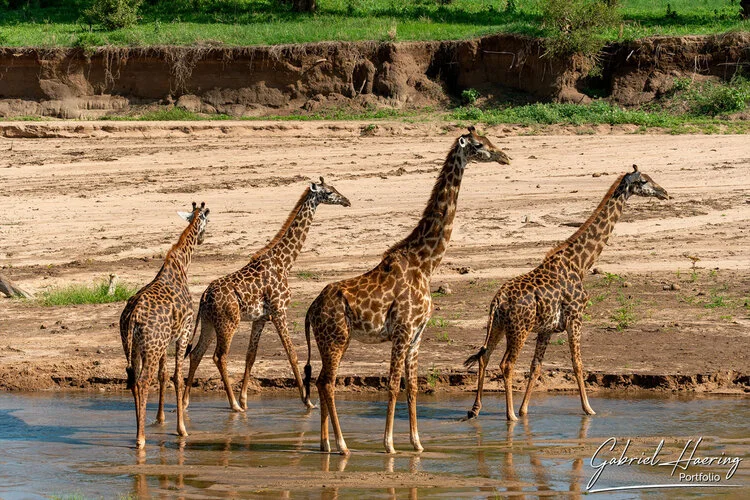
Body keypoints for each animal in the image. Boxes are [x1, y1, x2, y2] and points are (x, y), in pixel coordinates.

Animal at [120, 200, 210, 450]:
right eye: (208, 220)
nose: (203, 238)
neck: (181, 265)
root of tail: (132, 317)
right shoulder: (184, 333)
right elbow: (177, 377)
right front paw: (182, 429)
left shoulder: (166, 341)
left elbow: (164, 374)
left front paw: (160, 420)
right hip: (151, 347)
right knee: (142, 382)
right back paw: (141, 439)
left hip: (135, 347)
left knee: (134, 381)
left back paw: (139, 430)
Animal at [184, 178, 352, 412]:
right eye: (328, 192)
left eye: (335, 188)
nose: (347, 201)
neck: (285, 262)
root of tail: (204, 297)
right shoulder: (279, 311)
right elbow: (292, 354)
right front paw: (307, 401)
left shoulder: (261, 318)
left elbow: (251, 356)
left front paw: (245, 399)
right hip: (228, 323)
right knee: (219, 356)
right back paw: (233, 404)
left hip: (209, 322)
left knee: (196, 353)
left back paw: (185, 402)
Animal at [304, 127, 512, 456]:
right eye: (480, 145)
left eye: (490, 140)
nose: (505, 156)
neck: (425, 263)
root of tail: (310, 310)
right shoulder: (402, 331)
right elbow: (392, 384)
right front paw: (389, 443)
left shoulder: (417, 335)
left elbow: (412, 386)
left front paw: (416, 442)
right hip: (336, 338)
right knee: (327, 382)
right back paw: (342, 445)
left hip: (332, 340)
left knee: (322, 381)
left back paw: (326, 444)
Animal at [464, 166, 668, 420]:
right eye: (644, 181)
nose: (664, 192)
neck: (580, 263)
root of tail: (497, 301)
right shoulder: (575, 317)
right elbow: (577, 363)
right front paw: (588, 409)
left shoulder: (547, 329)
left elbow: (536, 366)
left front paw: (524, 410)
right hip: (519, 329)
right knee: (506, 364)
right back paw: (509, 415)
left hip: (499, 325)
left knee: (484, 356)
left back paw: (476, 409)